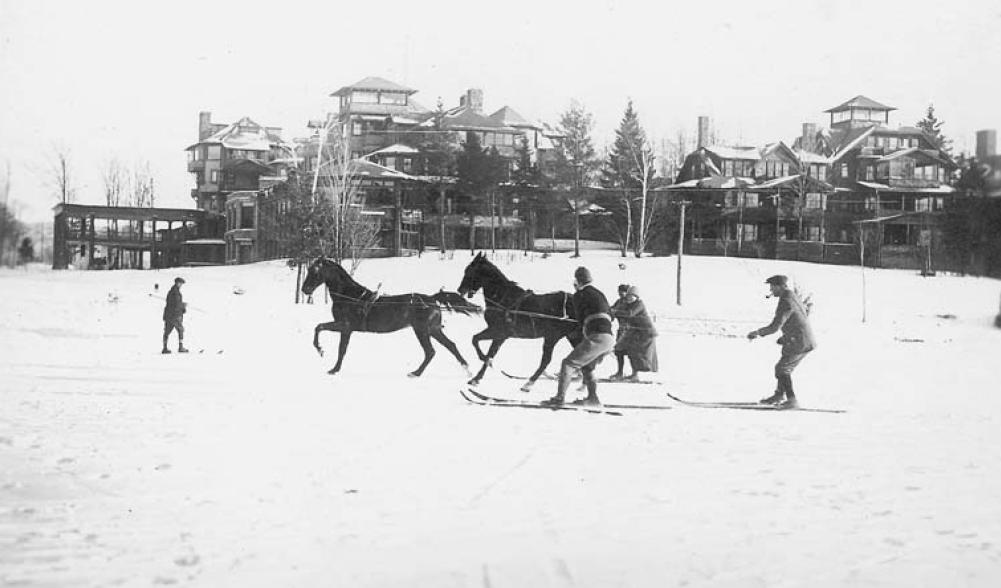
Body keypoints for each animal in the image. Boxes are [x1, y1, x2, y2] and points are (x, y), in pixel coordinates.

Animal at [300, 258, 476, 376]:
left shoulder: (345, 326)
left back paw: (416, 373)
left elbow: (330, 338)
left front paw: (326, 359)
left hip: (422, 330)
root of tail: (432, 299)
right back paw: (468, 370)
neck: (349, 296)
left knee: (430, 351)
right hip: (433, 330)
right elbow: (328, 336)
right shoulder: (344, 327)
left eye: (315, 271)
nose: (305, 290)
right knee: (450, 346)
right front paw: (328, 360)